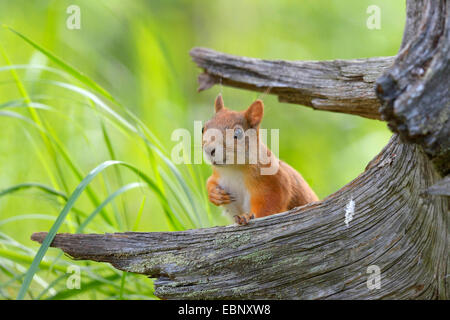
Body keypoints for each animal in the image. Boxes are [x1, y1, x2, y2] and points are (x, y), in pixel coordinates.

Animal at [202, 95, 318, 225]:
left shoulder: (274, 182)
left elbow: (268, 207)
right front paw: (215, 194)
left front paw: (247, 217)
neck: (233, 169)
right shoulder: (218, 176)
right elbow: (210, 182)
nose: (208, 150)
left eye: (238, 133)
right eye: (202, 129)